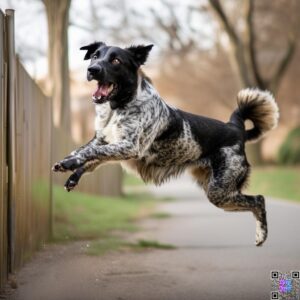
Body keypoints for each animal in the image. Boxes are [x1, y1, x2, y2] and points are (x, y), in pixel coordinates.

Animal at [51, 42, 278, 248]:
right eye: (94, 56)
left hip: (219, 191)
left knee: (259, 200)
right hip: (217, 189)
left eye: (116, 60)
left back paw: (262, 236)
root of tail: (235, 128)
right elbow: (86, 153)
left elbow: (91, 152)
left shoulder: (128, 147)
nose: (92, 70)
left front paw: (71, 163)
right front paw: (70, 167)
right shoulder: (106, 140)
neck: (120, 106)